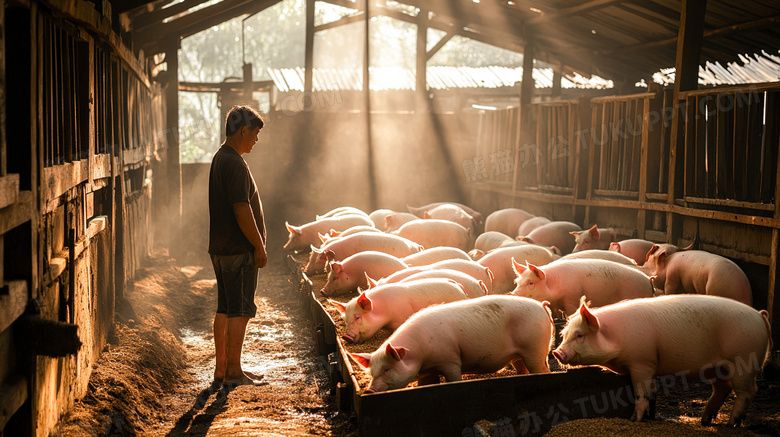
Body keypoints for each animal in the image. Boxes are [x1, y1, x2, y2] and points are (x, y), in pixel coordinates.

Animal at [354, 292, 556, 392]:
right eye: (371, 372)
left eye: (387, 369)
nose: (369, 391)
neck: (420, 355)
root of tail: (541, 306)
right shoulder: (428, 371)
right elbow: (426, 385)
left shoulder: (450, 361)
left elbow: (454, 379)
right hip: (520, 354)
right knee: (523, 369)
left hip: (535, 348)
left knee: (543, 370)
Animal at [512, 258, 660, 316]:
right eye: (517, 282)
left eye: (531, 283)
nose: (512, 294)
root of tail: (648, 280)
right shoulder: (554, 305)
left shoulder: (571, 299)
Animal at [556, 294, 772, 424]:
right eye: (564, 334)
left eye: (580, 335)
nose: (557, 352)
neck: (615, 337)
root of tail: (759, 315)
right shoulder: (651, 365)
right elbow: (652, 392)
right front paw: (651, 417)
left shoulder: (642, 362)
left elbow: (641, 393)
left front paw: (635, 420)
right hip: (719, 367)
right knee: (723, 388)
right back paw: (705, 421)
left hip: (743, 361)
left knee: (748, 391)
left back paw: (731, 423)